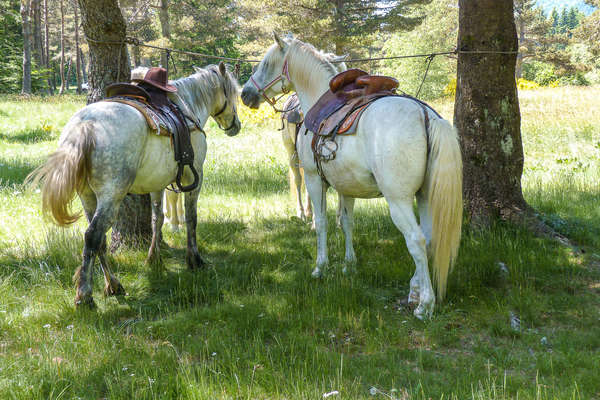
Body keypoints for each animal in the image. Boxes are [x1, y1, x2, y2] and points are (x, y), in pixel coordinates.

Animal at [27, 62, 239, 308]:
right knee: (93, 236)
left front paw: (153, 258)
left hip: (87, 197)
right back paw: (85, 295)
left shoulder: (158, 183)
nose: (236, 126)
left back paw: (113, 285)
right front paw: (194, 260)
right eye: (233, 94)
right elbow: (191, 218)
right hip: (111, 196)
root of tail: (85, 125)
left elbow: (157, 219)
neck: (187, 106)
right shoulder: (194, 177)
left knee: (98, 240)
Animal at [241, 36, 462, 318]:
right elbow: (347, 223)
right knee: (429, 237)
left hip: (398, 200)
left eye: (267, 63)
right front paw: (349, 265)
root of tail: (425, 115)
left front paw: (320, 267)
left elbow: (322, 223)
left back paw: (425, 303)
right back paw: (415, 288)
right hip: (423, 196)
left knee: (416, 240)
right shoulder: (346, 187)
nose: (245, 94)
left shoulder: (314, 179)